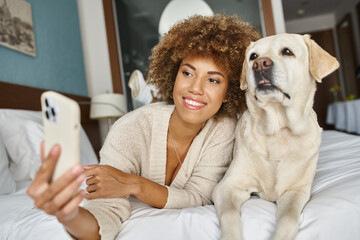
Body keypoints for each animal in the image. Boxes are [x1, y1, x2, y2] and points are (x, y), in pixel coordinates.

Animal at [212, 33, 338, 240]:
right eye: (253, 56)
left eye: (287, 51)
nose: (260, 64)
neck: (279, 130)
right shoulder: (227, 187)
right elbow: (230, 214)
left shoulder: (297, 191)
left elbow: (289, 217)